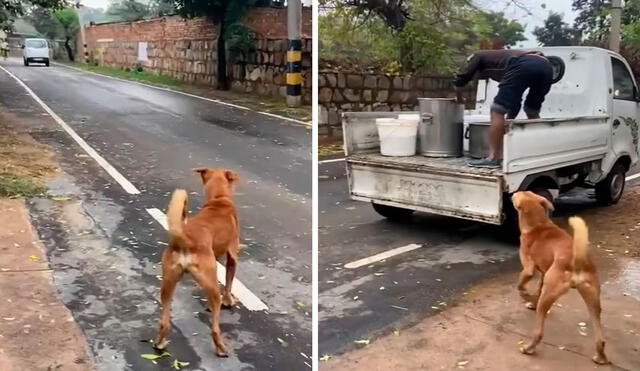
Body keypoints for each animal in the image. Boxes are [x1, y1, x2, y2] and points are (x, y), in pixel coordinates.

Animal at [154, 169, 240, 358]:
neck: (219, 199)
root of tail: (185, 239)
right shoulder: (232, 255)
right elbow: (228, 282)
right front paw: (229, 300)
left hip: (168, 285)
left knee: (165, 322)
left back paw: (160, 343)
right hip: (211, 287)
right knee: (215, 327)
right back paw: (221, 348)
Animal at [512, 192, 608, 366]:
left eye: (521, 193)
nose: (512, 193)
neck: (539, 225)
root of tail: (577, 261)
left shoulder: (528, 270)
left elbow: (521, 287)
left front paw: (526, 297)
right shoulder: (544, 273)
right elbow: (537, 289)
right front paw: (532, 300)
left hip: (549, 295)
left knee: (539, 332)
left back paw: (529, 348)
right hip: (593, 301)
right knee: (600, 338)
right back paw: (601, 357)